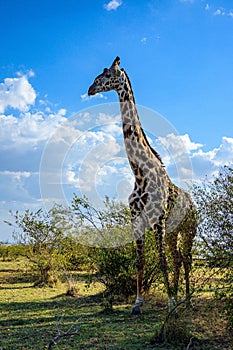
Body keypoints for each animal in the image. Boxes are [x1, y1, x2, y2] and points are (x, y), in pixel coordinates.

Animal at [87, 56, 197, 314]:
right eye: (97, 77)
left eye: (107, 76)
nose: (90, 89)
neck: (140, 174)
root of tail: (193, 204)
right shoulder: (136, 220)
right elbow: (140, 261)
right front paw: (137, 303)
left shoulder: (157, 221)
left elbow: (161, 261)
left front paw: (170, 303)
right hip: (173, 232)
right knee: (178, 259)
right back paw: (180, 296)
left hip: (188, 230)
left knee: (186, 259)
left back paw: (187, 299)